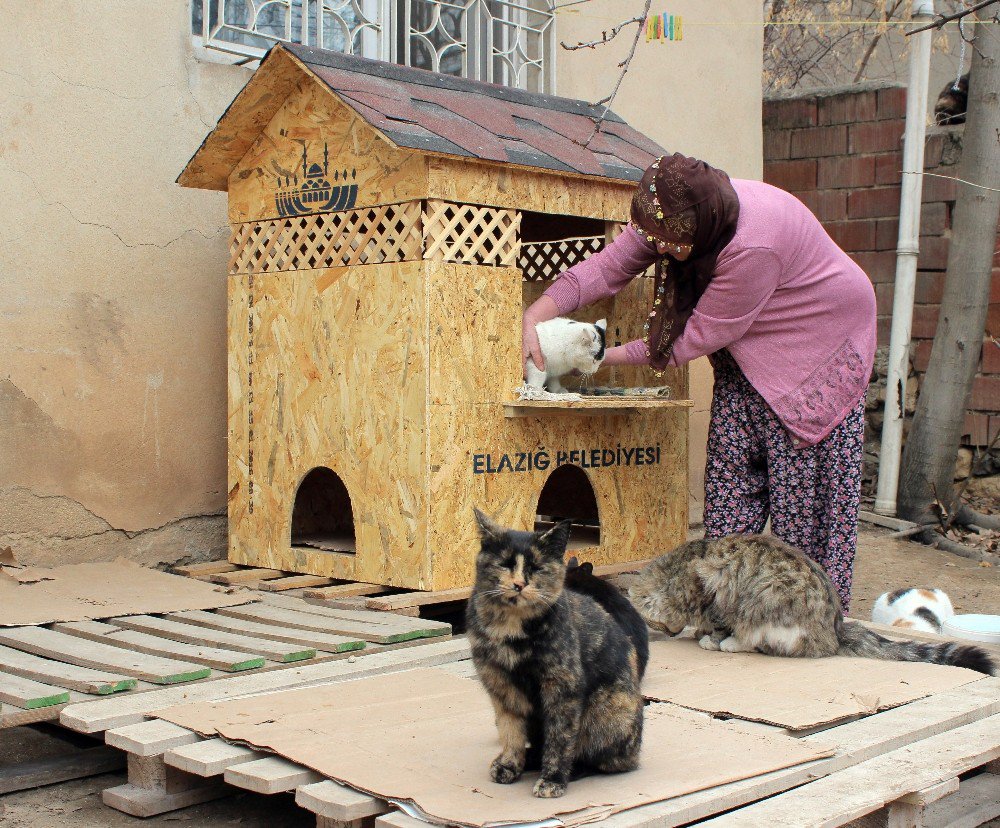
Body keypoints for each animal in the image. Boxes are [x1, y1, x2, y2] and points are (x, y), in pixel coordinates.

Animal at [628, 532, 996, 676]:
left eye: (658, 624)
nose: (670, 633)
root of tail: (835, 629)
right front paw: (698, 633)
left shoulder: (716, 594)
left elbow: (717, 622)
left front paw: (709, 638)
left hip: (765, 602)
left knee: (757, 641)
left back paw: (731, 644)